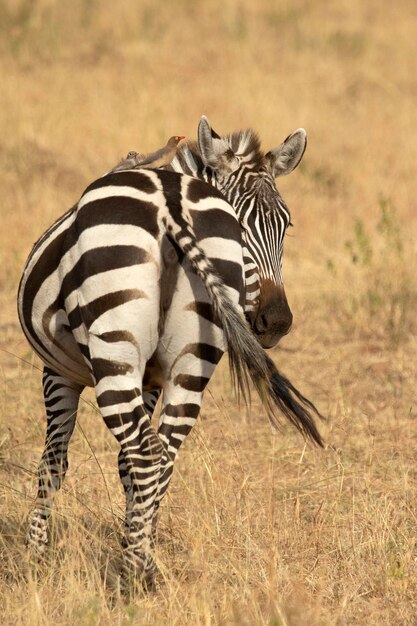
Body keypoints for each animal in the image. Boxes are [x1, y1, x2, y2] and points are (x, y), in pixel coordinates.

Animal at [17, 114, 322, 588]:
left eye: (285, 226)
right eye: (241, 226)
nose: (277, 321)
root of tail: (171, 203)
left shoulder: (57, 372)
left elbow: (54, 462)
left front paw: (35, 558)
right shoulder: (152, 379)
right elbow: (117, 468)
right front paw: (135, 537)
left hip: (115, 353)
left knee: (146, 454)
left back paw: (131, 578)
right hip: (192, 362)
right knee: (162, 456)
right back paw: (143, 564)